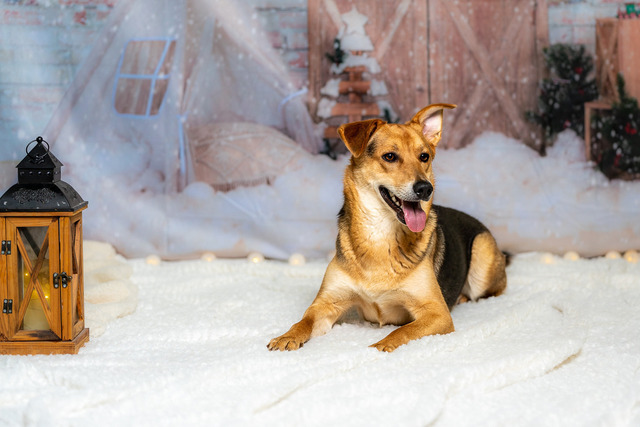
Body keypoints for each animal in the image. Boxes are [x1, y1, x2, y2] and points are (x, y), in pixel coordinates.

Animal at [268, 103, 507, 352]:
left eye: (424, 157)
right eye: (390, 156)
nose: (425, 188)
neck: (380, 235)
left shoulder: (437, 313)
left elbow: (403, 330)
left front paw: (380, 347)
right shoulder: (326, 303)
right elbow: (304, 320)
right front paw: (288, 336)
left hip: (481, 255)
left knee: (490, 291)